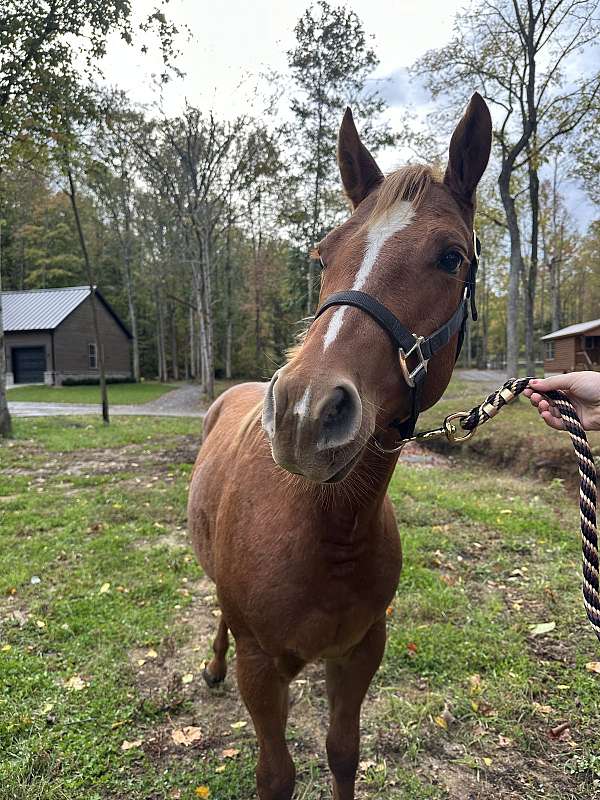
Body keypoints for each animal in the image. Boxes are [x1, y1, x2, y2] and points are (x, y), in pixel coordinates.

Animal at [189, 90, 492, 796]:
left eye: (452, 257)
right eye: (323, 255)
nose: (306, 413)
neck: (325, 528)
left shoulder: (358, 654)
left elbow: (342, 753)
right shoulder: (261, 667)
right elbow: (276, 775)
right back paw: (210, 667)